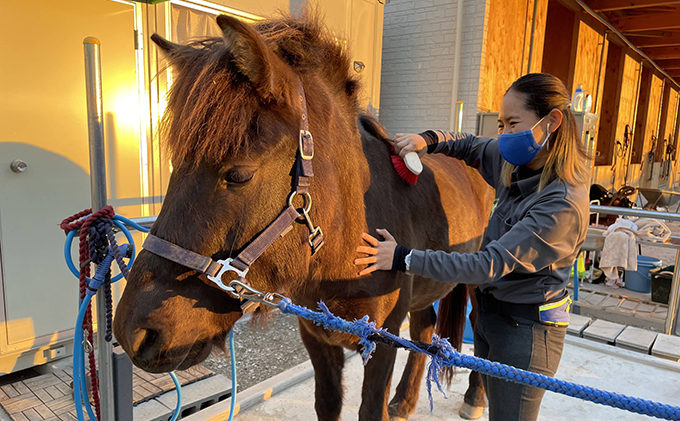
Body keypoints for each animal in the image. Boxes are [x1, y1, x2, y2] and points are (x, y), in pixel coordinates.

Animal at [114, 12, 492, 420]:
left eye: (239, 174)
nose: (133, 332)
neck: (349, 239)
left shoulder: (381, 341)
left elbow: (370, 407)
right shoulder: (315, 336)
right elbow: (326, 403)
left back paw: (474, 397)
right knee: (424, 326)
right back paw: (404, 401)